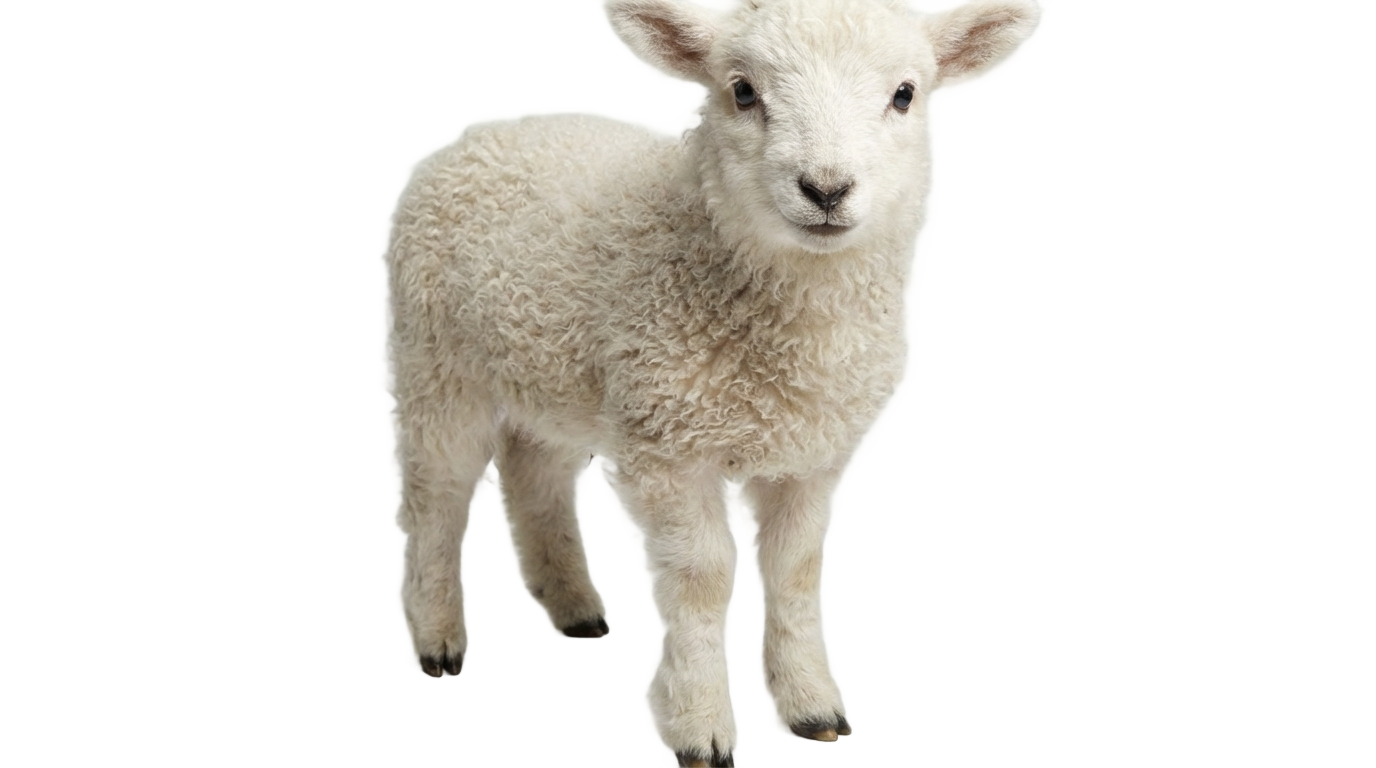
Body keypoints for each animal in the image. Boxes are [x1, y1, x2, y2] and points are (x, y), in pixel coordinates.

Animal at [386, 0, 1035, 764]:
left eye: (905, 94)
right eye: (743, 91)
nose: (826, 189)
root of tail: (492, 133)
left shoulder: (810, 452)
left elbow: (795, 571)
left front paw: (813, 707)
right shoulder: (669, 443)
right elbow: (701, 582)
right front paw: (701, 727)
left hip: (551, 373)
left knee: (533, 473)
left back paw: (575, 607)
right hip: (437, 358)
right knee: (436, 494)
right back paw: (437, 639)